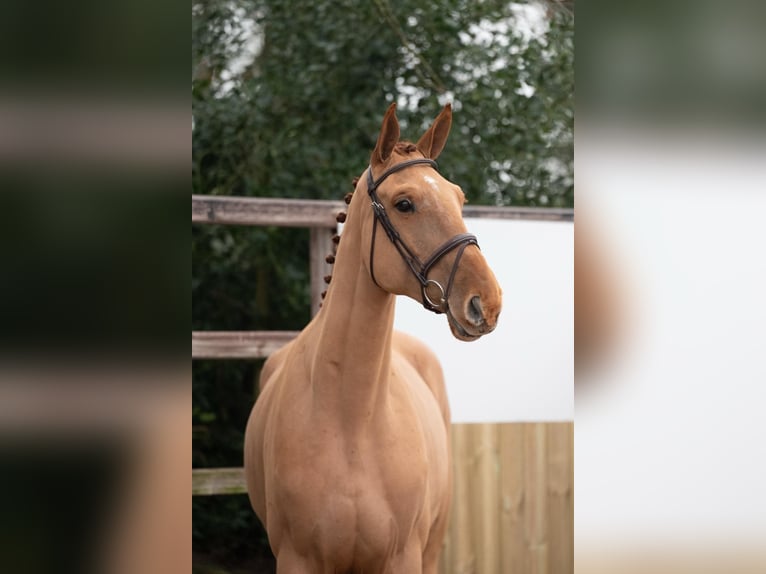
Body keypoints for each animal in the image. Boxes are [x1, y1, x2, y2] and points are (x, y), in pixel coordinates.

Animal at [243, 104, 500, 574]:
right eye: (405, 204)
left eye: (459, 199)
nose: (486, 302)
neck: (352, 420)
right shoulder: (296, 559)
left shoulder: (404, 557)